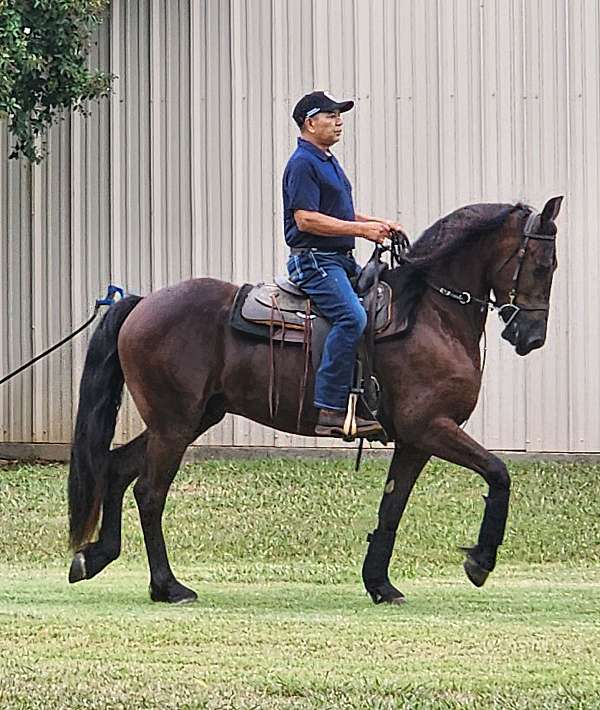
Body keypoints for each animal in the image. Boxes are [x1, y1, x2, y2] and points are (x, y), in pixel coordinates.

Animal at [67, 196, 563, 604]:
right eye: (543, 265)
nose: (531, 336)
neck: (430, 313)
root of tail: (144, 302)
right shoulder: (432, 428)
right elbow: (498, 473)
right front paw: (480, 560)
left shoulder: (414, 441)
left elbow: (392, 507)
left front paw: (379, 584)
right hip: (175, 425)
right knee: (150, 494)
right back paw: (168, 586)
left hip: (188, 419)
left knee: (116, 469)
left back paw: (95, 556)